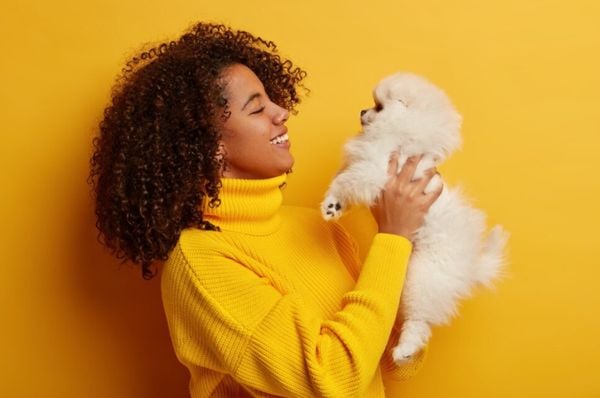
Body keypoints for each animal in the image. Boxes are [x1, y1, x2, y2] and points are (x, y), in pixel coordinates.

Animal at [322, 70, 508, 364]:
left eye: (379, 107)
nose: (361, 110)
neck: (401, 136)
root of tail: (471, 266)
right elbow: (346, 183)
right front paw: (334, 207)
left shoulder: (374, 170)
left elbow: (347, 180)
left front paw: (330, 203)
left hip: (422, 277)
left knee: (420, 322)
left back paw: (405, 349)